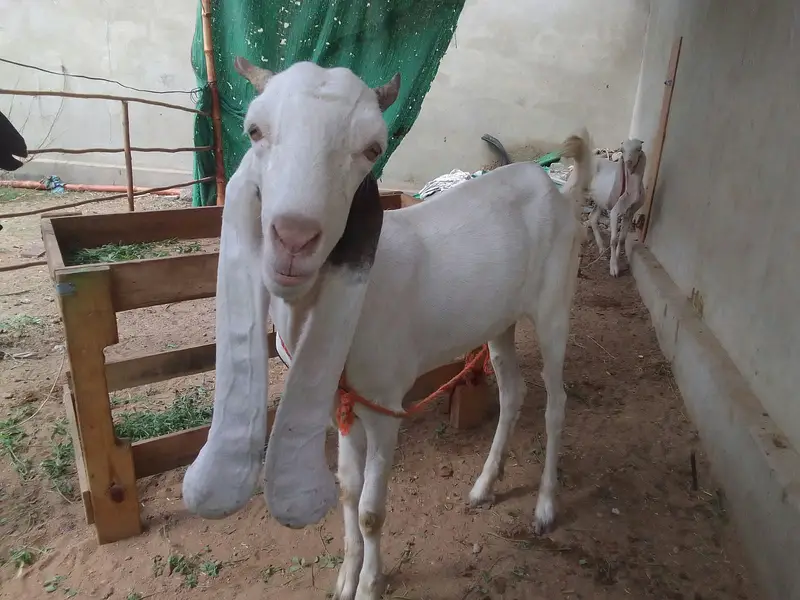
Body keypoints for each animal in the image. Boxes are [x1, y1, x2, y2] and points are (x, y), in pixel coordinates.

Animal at [183, 57, 594, 600]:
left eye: (373, 149)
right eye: (254, 130)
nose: (293, 238)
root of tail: (560, 191)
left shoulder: (385, 404)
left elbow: (372, 512)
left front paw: (370, 584)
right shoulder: (342, 402)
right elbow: (348, 494)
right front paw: (345, 576)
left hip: (553, 306)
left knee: (556, 400)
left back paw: (545, 507)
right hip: (500, 319)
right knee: (512, 391)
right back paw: (485, 485)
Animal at [582, 138, 646, 276]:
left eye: (639, 149)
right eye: (622, 150)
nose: (628, 162)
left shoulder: (630, 212)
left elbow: (622, 239)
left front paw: (616, 260)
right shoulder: (614, 211)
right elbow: (614, 240)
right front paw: (614, 268)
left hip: (600, 201)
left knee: (593, 217)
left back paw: (601, 247)